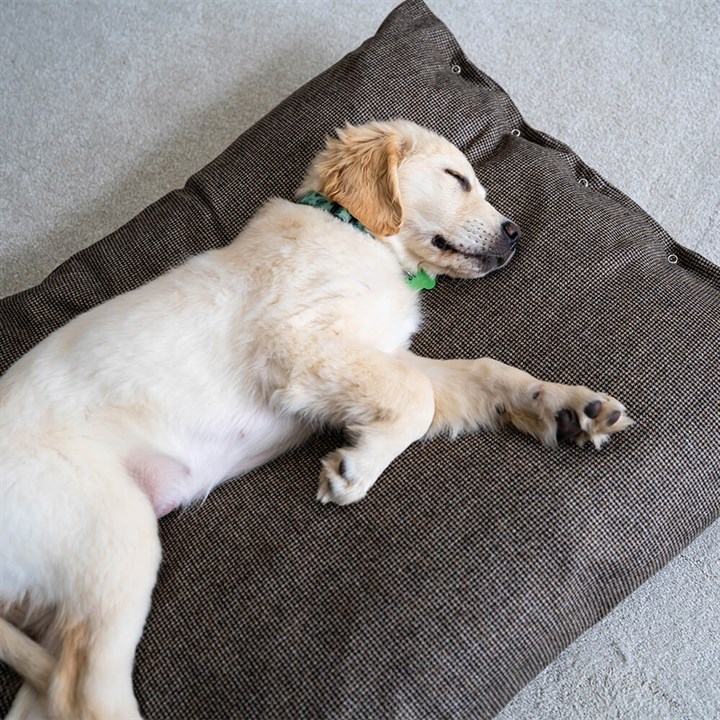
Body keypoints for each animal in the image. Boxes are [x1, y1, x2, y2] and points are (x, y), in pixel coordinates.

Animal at [0, 121, 632, 716]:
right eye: (456, 178)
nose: (515, 233)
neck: (361, 236)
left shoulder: (379, 353)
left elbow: (481, 375)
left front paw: (571, 408)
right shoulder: (298, 345)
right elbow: (415, 398)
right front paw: (357, 469)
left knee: (52, 693)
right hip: (114, 535)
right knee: (82, 696)